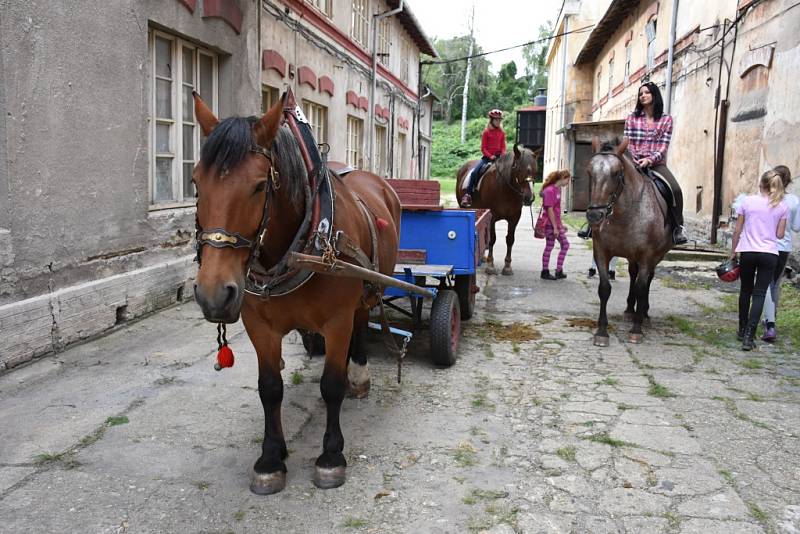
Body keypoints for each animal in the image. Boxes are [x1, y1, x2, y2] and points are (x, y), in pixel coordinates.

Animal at [191, 93, 404, 498]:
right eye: (195, 182)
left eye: (260, 186)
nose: (213, 294)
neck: (300, 244)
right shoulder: (259, 325)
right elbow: (270, 388)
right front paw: (271, 458)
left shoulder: (336, 321)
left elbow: (331, 385)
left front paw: (331, 456)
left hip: (367, 285)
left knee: (361, 321)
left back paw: (358, 374)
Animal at [454, 144, 540, 274]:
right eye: (519, 169)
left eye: (536, 171)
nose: (529, 197)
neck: (506, 189)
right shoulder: (492, 217)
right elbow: (492, 239)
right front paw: (490, 265)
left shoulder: (514, 218)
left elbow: (510, 239)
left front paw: (507, 266)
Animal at [584, 137, 672, 348]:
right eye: (590, 171)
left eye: (616, 173)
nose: (594, 216)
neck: (623, 215)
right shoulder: (601, 251)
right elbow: (605, 288)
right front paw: (602, 332)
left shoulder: (647, 256)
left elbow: (641, 287)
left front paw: (636, 330)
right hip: (632, 257)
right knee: (633, 274)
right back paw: (630, 310)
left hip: (655, 256)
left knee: (646, 279)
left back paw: (643, 314)